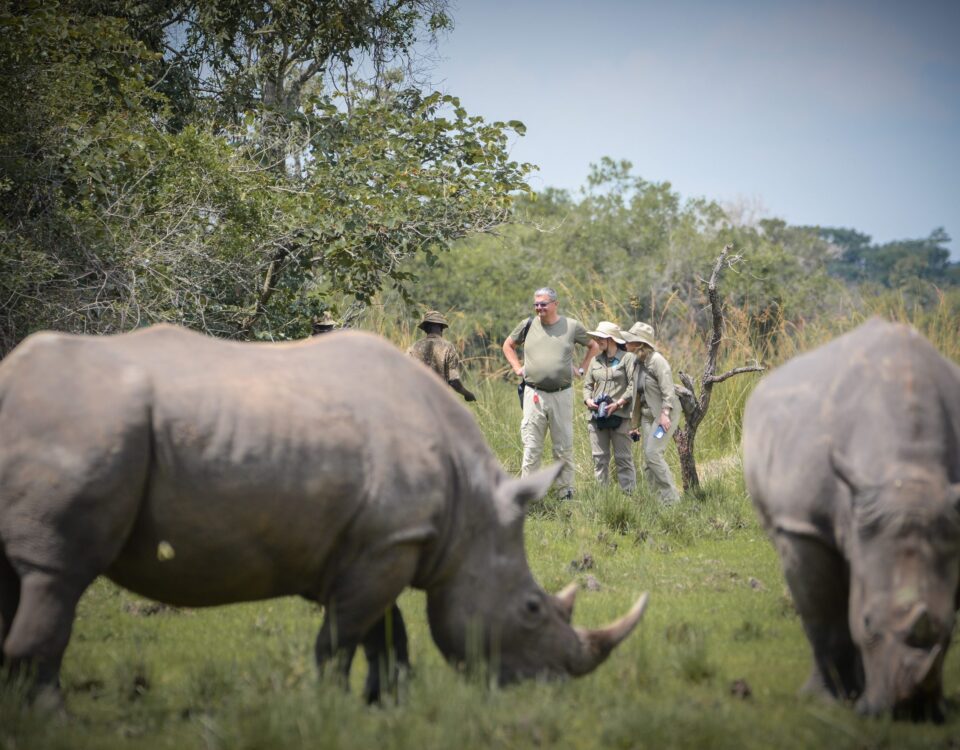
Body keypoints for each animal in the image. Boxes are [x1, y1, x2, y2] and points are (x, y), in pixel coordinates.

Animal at [0, 324, 648, 704]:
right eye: (533, 609)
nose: (551, 687)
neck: (473, 517)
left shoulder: (381, 542)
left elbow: (386, 634)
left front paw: (386, 706)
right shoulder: (388, 542)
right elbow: (340, 639)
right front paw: (331, 708)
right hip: (89, 420)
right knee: (57, 574)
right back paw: (51, 716)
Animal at [743, 318, 960, 721]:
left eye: (948, 628)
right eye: (868, 623)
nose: (907, 712)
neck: (907, 474)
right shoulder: (804, 526)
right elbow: (825, 617)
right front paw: (828, 702)